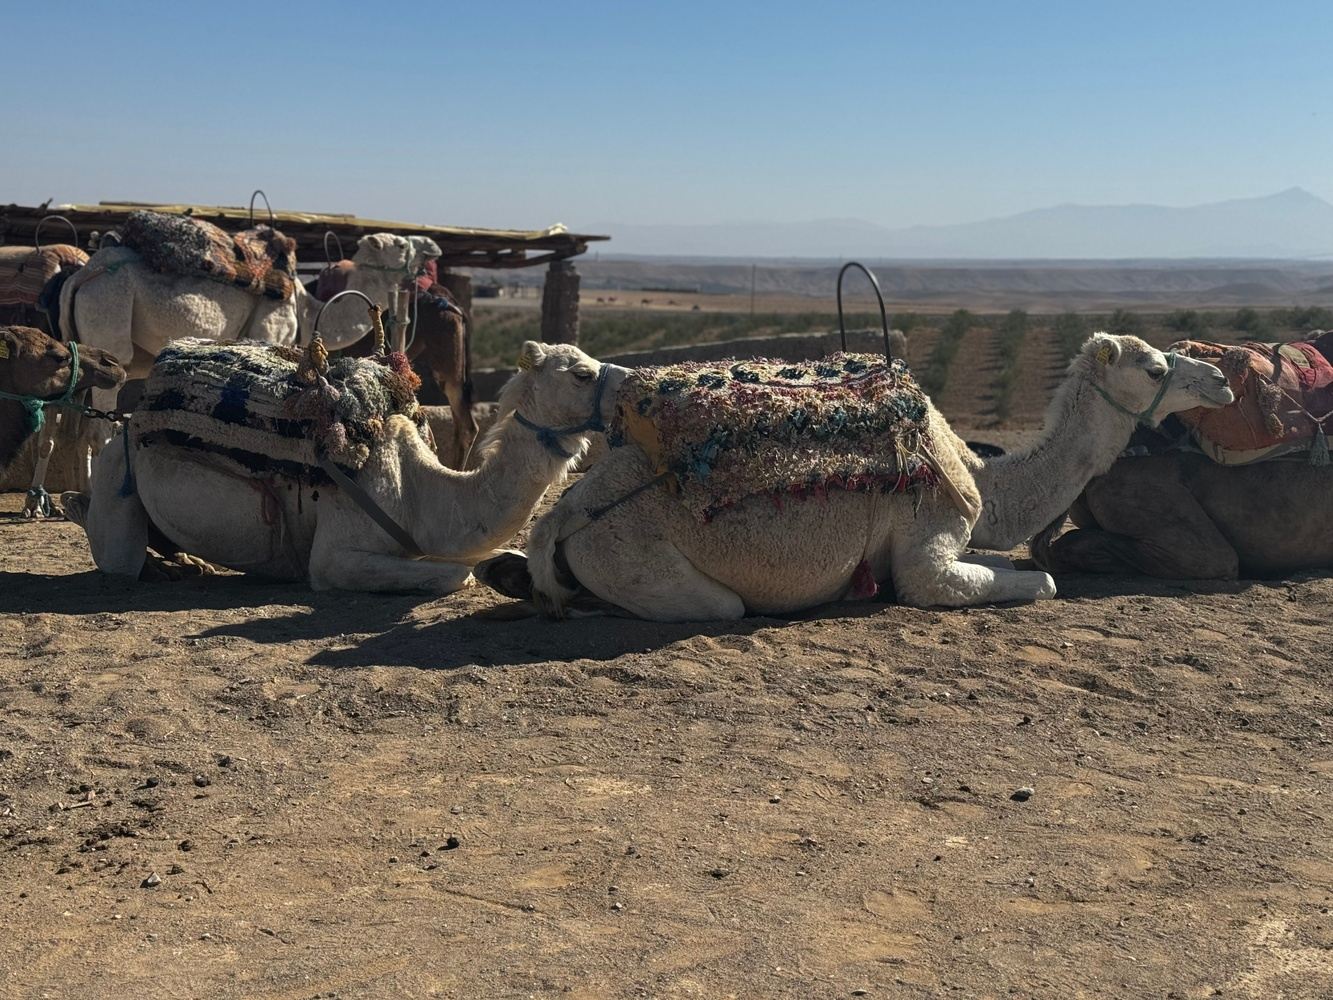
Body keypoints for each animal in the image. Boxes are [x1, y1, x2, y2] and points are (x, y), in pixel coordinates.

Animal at [64, 341, 628, 593]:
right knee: (119, 558)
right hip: (116, 471)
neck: (424, 492)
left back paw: (185, 561)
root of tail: (127, 420)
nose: (632, 382)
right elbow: (457, 575)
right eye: (581, 373)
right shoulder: (335, 557)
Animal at [475, 334, 1232, 620]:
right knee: (715, 605)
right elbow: (1032, 581)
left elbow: (1011, 563)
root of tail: (569, 512)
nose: (1221, 380)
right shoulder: (929, 538)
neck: (985, 483)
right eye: (1154, 369)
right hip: (640, 560)